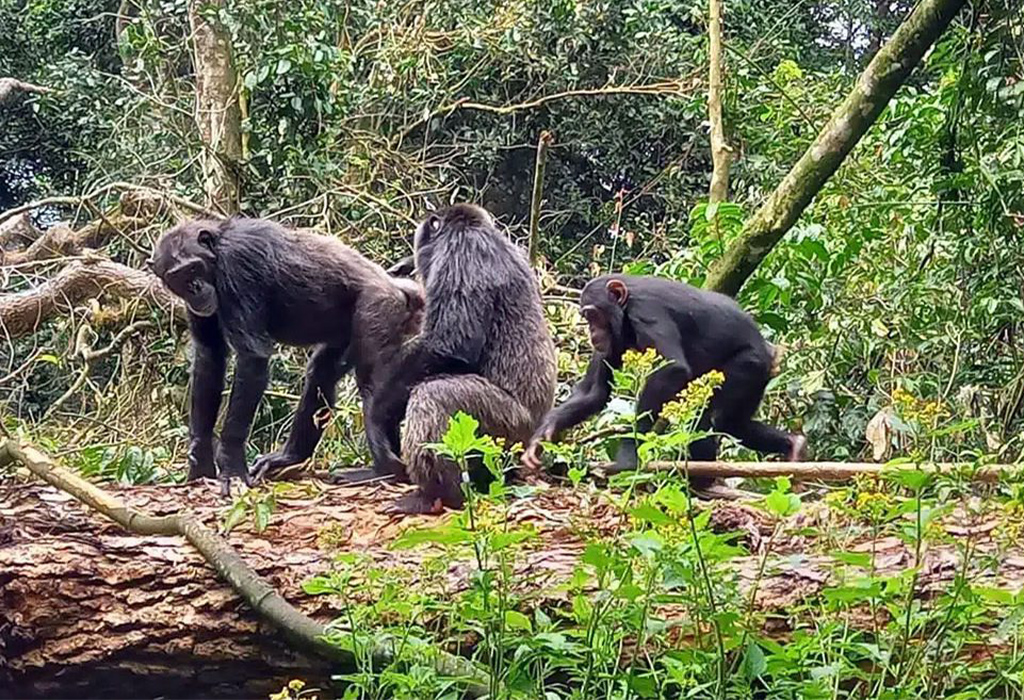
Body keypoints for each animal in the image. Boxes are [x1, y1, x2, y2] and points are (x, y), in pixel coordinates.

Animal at [149, 217, 423, 494]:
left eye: (194, 268)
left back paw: (384, 470)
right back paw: (289, 457)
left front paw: (231, 467)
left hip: (378, 309)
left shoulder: (238, 264)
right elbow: (210, 356)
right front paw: (201, 462)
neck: (217, 255)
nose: (194, 288)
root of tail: (399, 288)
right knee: (321, 373)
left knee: (372, 387)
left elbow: (251, 359)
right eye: (179, 277)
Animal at [365, 204, 557, 514]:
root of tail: (534, 438)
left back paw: (434, 495)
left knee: (434, 397)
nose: (407, 260)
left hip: (505, 428)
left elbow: (449, 343)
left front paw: (377, 416)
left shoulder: (460, 255)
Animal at [523, 274, 806, 477]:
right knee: (733, 422)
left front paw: (628, 455)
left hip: (749, 364)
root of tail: (771, 353)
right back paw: (794, 446)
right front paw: (542, 436)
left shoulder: (648, 312)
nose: (592, 332)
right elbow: (595, 393)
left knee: (713, 417)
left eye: (593, 315)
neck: (625, 310)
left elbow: (673, 368)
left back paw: (703, 480)